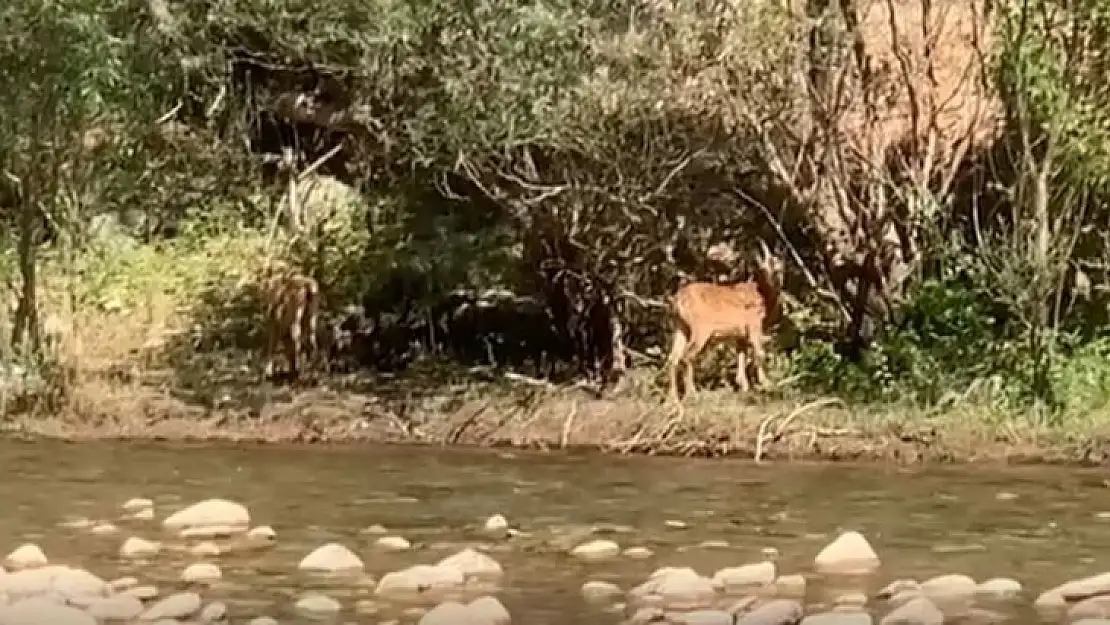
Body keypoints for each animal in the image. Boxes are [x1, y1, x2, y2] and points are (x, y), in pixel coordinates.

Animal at [661, 239, 785, 401]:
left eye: (779, 267)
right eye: (763, 269)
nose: (774, 281)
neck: (762, 296)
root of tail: (678, 300)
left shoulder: (740, 335)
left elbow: (741, 355)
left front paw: (744, 386)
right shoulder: (754, 324)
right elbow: (759, 353)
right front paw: (766, 383)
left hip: (680, 327)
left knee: (673, 358)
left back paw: (673, 398)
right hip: (700, 328)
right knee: (688, 355)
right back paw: (692, 394)